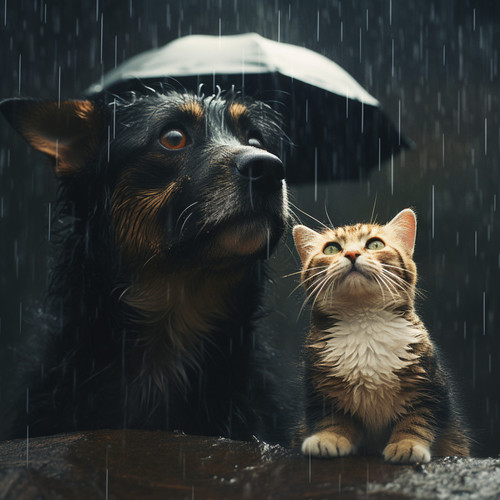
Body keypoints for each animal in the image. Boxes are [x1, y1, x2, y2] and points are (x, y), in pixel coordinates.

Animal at [292, 209, 468, 462]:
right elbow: (332, 418)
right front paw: (329, 438)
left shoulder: (428, 386)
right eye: (331, 249)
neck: (363, 319)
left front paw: (406, 444)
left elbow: (417, 420)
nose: (352, 253)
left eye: (375, 244)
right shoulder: (322, 388)